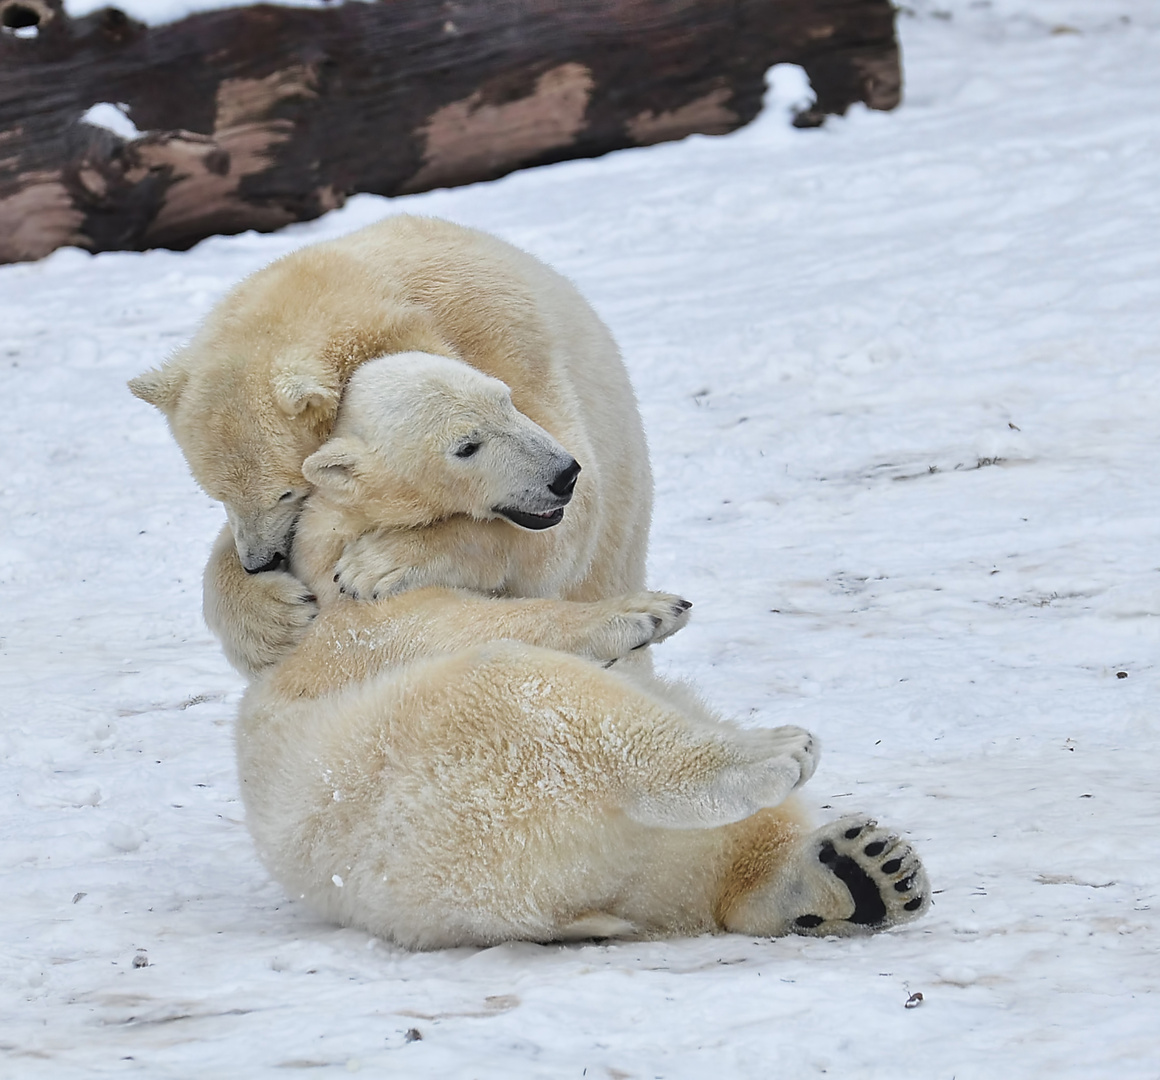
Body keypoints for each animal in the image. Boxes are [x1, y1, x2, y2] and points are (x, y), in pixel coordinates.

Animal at [129, 215, 654, 682]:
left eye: (285, 493)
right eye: (217, 495)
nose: (259, 563)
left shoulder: (493, 333)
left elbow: (572, 514)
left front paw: (380, 563)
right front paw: (275, 619)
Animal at [230, 354, 928, 946]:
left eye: (507, 399)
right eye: (466, 445)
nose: (565, 473)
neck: (347, 529)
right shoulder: (352, 619)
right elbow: (468, 622)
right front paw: (645, 612)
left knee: (687, 866)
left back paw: (867, 873)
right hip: (440, 755)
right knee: (555, 705)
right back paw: (775, 754)